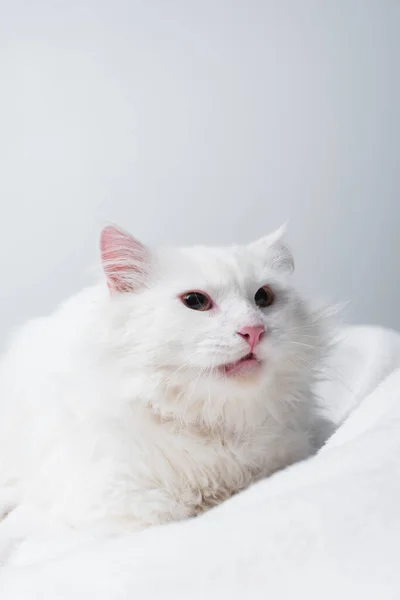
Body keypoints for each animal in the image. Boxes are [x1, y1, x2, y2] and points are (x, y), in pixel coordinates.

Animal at [0, 224, 330, 528]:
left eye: (263, 297)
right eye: (195, 301)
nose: (254, 330)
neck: (214, 423)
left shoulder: (290, 453)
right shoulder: (121, 506)